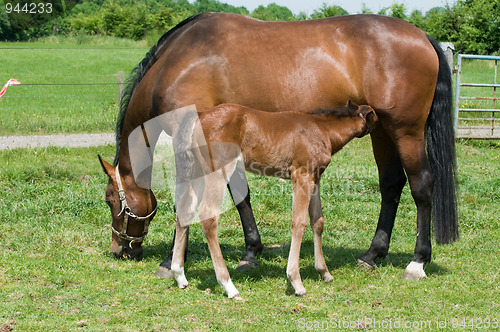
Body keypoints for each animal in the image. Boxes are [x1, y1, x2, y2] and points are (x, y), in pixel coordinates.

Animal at [170, 101, 376, 298]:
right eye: (375, 116)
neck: (321, 129)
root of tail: (200, 116)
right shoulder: (301, 175)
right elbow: (299, 223)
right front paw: (296, 282)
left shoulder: (315, 177)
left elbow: (317, 221)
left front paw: (324, 272)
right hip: (218, 172)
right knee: (208, 216)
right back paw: (228, 286)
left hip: (197, 171)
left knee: (185, 210)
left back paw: (179, 275)